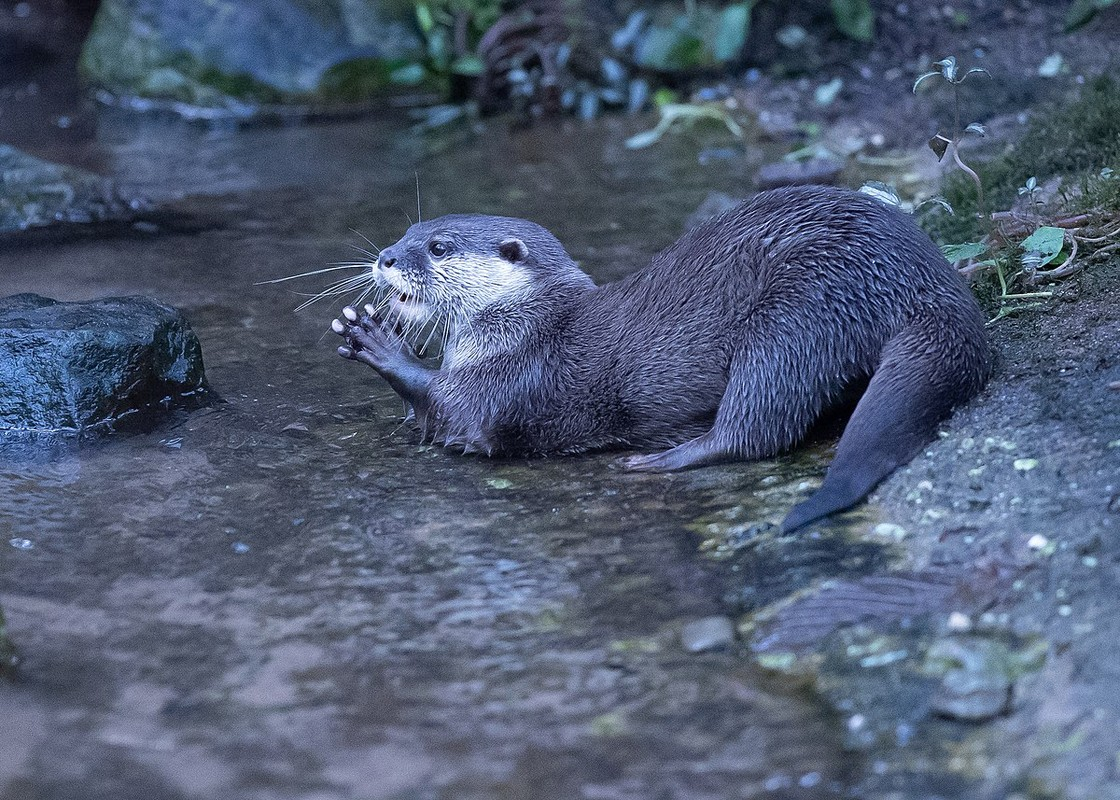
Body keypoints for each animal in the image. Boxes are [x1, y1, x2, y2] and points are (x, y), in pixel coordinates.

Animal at [329, 182, 990, 526]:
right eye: (408, 232)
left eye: (438, 247)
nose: (386, 256)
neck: (526, 326)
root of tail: (923, 279)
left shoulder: (522, 378)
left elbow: (458, 415)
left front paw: (381, 345)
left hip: (800, 311)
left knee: (758, 425)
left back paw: (665, 459)